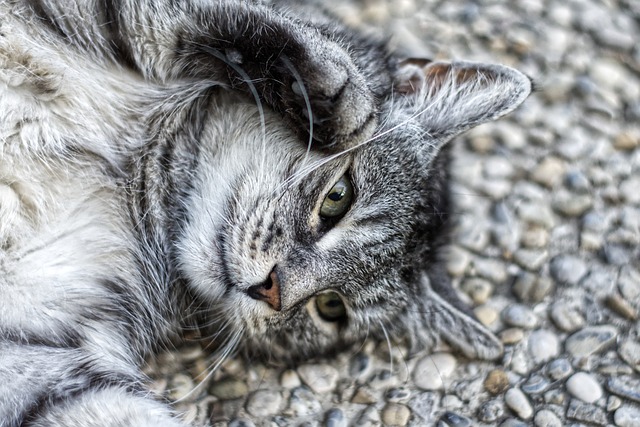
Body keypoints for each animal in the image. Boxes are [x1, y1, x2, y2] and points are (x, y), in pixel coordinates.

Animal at [0, 0, 528, 424]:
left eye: (330, 307)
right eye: (338, 196)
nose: (271, 289)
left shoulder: (41, 365)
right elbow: (184, 19)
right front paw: (332, 96)